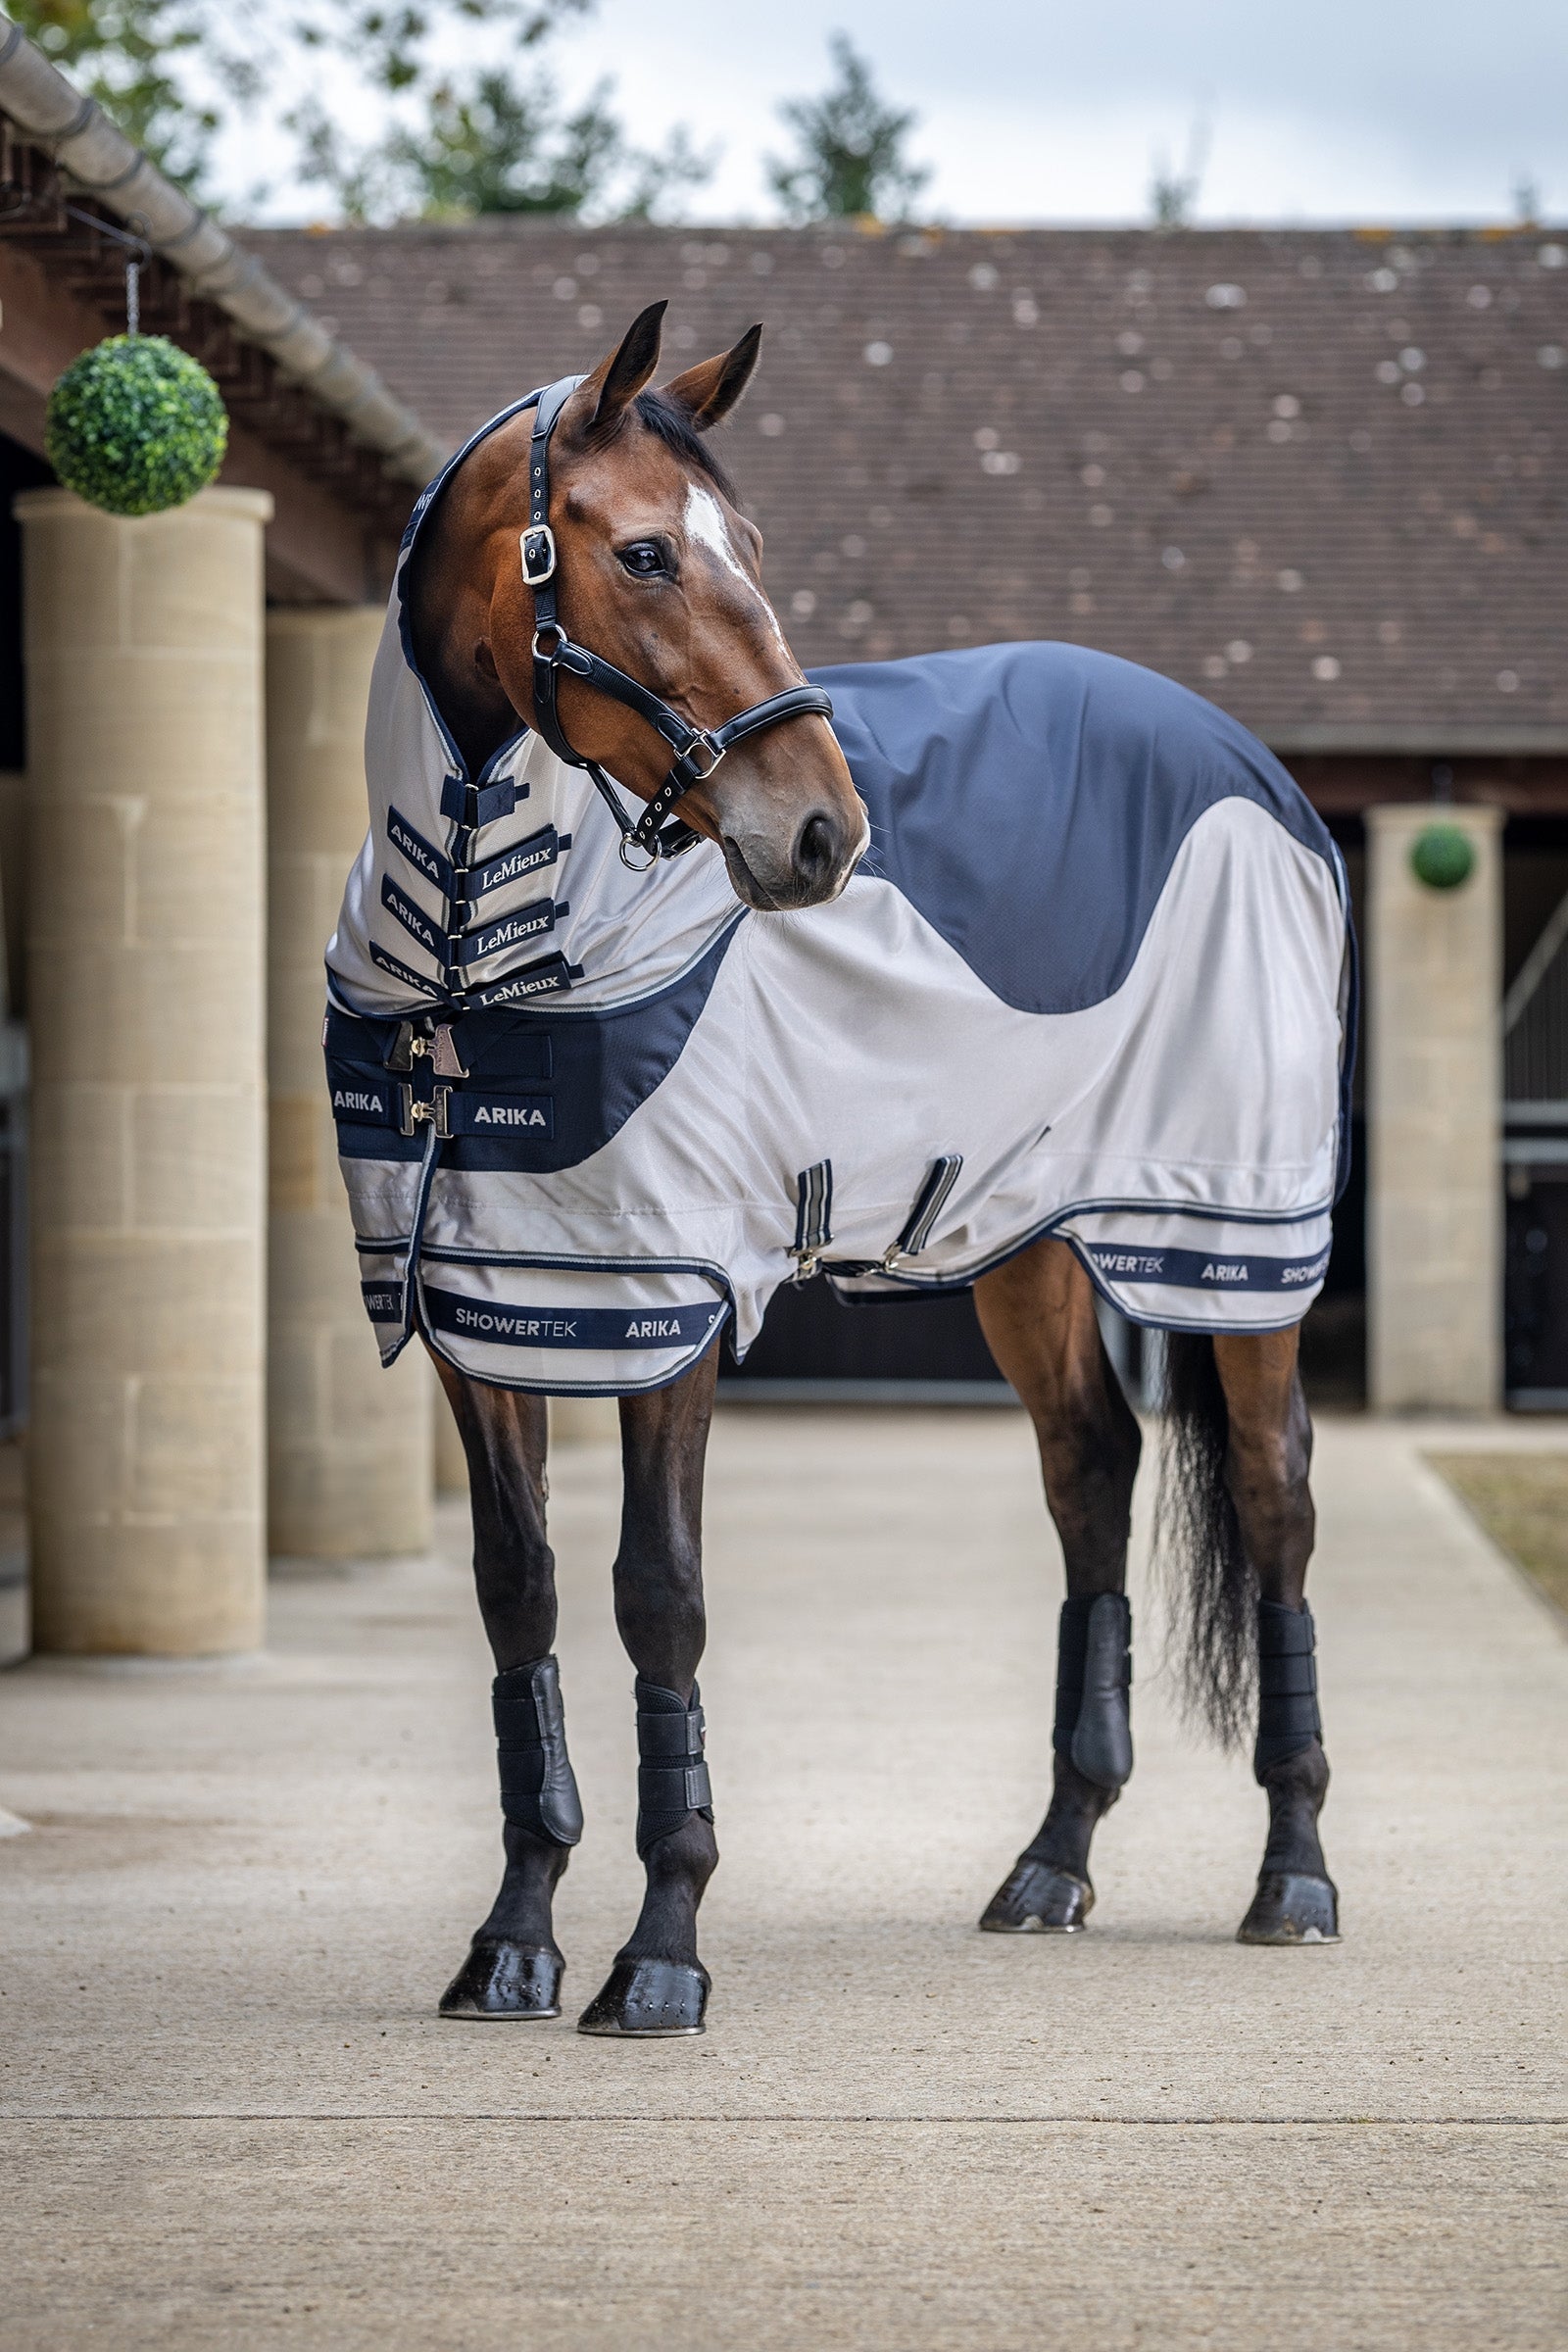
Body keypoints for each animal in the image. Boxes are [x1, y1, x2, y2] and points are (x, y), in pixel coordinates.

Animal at [324, 300, 1349, 2036]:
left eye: (753, 549)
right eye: (646, 553)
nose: (820, 835)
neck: (477, 937)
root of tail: (1262, 780)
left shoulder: (666, 1304)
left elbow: (658, 1597)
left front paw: (662, 1955)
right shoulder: (485, 1309)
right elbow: (517, 1593)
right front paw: (514, 1942)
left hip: (1224, 1249)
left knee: (1274, 1503)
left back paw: (1293, 1880)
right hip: (1027, 1247)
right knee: (1091, 1479)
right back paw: (1052, 1865)